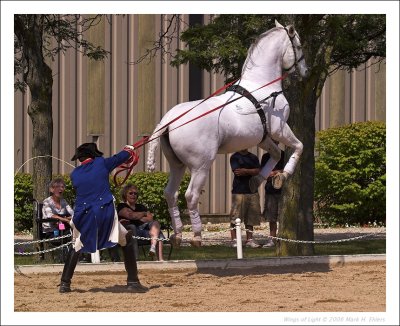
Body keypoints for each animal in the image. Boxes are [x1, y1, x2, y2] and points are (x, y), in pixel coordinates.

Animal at [147, 20, 310, 246]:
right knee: (190, 195)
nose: (306, 72)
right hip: (201, 166)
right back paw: (196, 236)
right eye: (299, 45)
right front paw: (283, 175)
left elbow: (276, 154)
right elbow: (298, 146)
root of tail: (168, 122)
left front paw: (258, 180)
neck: (262, 87)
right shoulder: (279, 129)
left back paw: (178, 235)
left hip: (177, 165)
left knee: (171, 194)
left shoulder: (264, 138)